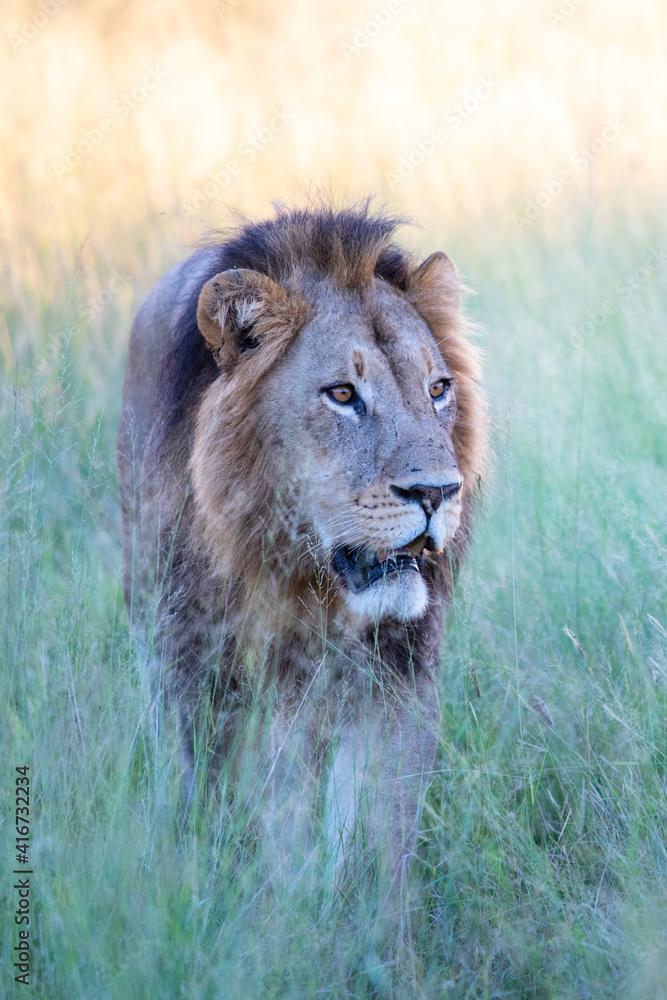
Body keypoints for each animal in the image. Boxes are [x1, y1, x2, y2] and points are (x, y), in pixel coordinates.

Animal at [118, 203, 487, 900]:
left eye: (438, 389)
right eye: (342, 395)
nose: (436, 492)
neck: (308, 584)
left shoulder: (398, 670)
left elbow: (382, 829)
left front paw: (367, 917)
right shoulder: (203, 667)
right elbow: (253, 798)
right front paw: (260, 899)